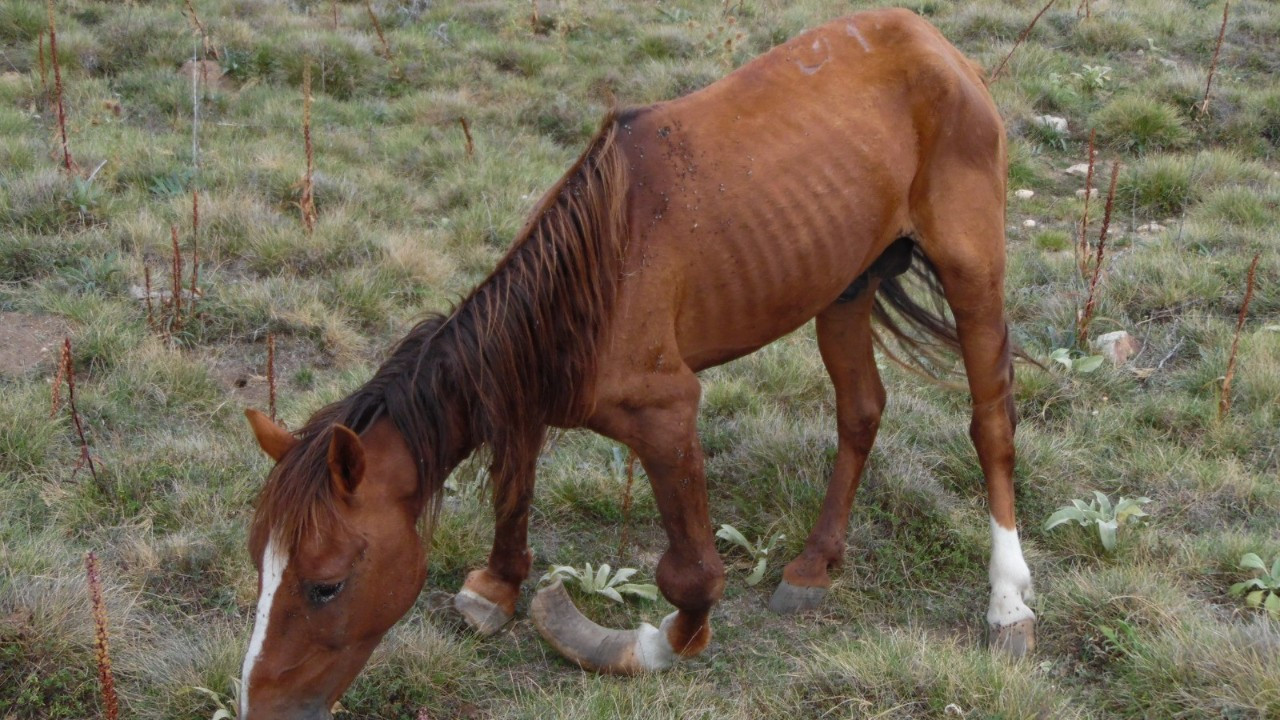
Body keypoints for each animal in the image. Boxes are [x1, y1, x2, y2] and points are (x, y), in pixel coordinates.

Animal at [241, 8, 1039, 712]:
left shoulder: (665, 414)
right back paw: (816, 565)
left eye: (325, 585)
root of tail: (939, 46)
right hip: (845, 286)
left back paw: (1008, 602)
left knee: (991, 426)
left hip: (972, 272)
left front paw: (647, 645)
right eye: (260, 567)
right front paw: (497, 587)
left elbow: (691, 578)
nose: (262, 706)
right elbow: (512, 489)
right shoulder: (525, 392)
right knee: (862, 412)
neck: (589, 284)